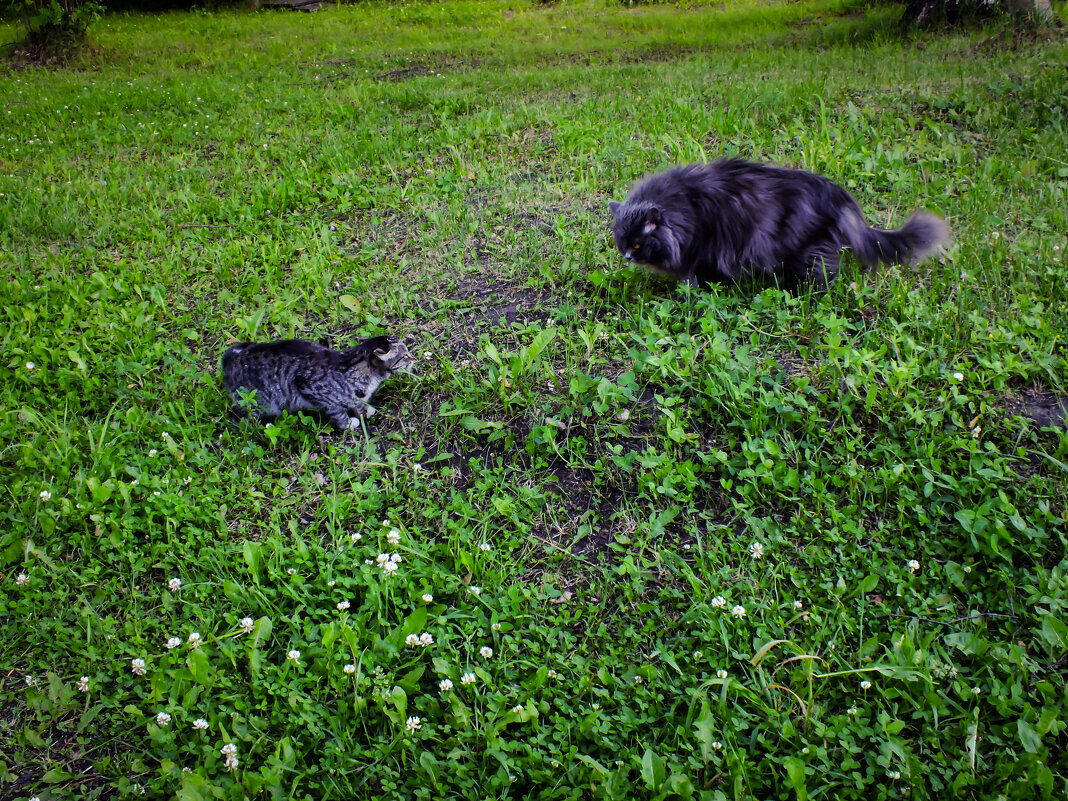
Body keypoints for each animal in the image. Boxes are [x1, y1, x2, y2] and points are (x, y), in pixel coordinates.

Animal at [221, 333, 412, 429]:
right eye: (404, 356)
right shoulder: (309, 387)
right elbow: (338, 411)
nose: (413, 358)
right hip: (258, 401)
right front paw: (349, 423)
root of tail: (230, 363)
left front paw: (364, 409)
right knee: (237, 415)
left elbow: (356, 402)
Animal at [610, 158, 952, 292]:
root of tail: (840, 198)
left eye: (638, 243)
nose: (627, 257)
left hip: (809, 252)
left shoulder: (700, 245)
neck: (683, 207)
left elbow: (692, 275)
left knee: (825, 277)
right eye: (622, 243)